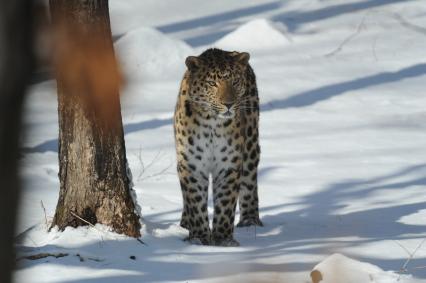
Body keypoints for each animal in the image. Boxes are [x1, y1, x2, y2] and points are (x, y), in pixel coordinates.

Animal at [172, 48, 260, 246]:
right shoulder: (192, 164)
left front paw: (223, 239)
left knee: (250, 180)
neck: (211, 123)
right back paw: (185, 223)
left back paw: (250, 221)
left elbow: (226, 203)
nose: (228, 104)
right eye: (212, 83)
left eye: (235, 82)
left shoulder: (229, 164)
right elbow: (195, 202)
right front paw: (200, 238)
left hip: (251, 143)